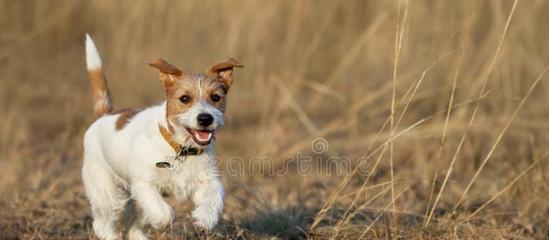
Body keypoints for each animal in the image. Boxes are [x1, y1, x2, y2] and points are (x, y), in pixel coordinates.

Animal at [81, 34, 242, 240]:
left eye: (215, 97)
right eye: (184, 98)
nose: (205, 118)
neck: (180, 148)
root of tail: (105, 114)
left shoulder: (206, 179)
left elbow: (214, 195)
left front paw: (204, 218)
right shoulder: (144, 184)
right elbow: (163, 212)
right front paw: (163, 221)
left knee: (133, 225)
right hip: (107, 190)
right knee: (103, 222)